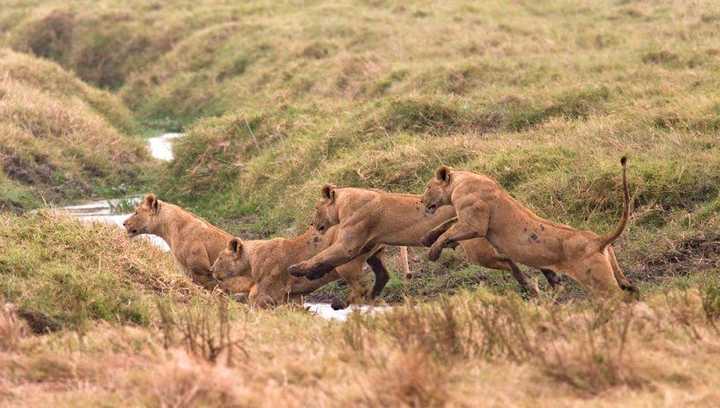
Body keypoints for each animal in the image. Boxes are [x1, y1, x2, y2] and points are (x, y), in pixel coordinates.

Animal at [210, 223, 386, 310]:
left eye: (219, 257)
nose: (211, 269)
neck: (250, 263)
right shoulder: (293, 296)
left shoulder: (266, 293)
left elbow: (254, 304)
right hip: (376, 256)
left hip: (346, 263)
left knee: (361, 286)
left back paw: (341, 303)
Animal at [422, 157, 636, 296]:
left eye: (428, 187)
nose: (422, 200)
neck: (461, 181)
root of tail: (597, 240)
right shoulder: (466, 219)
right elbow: (448, 224)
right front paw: (428, 238)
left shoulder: (476, 224)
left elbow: (450, 231)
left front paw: (433, 252)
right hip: (614, 271)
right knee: (631, 289)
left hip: (599, 281)